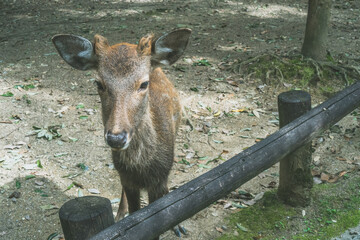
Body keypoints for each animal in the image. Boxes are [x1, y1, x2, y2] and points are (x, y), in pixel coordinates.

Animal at [52, 28, 191, 238]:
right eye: (98, 83)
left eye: (144, 83)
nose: (116, 138)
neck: (142, 167)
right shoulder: (126, 178)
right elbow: (135, 215)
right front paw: (123, 217)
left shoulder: (159, 180)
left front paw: (176, 224)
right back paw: (119, 214)